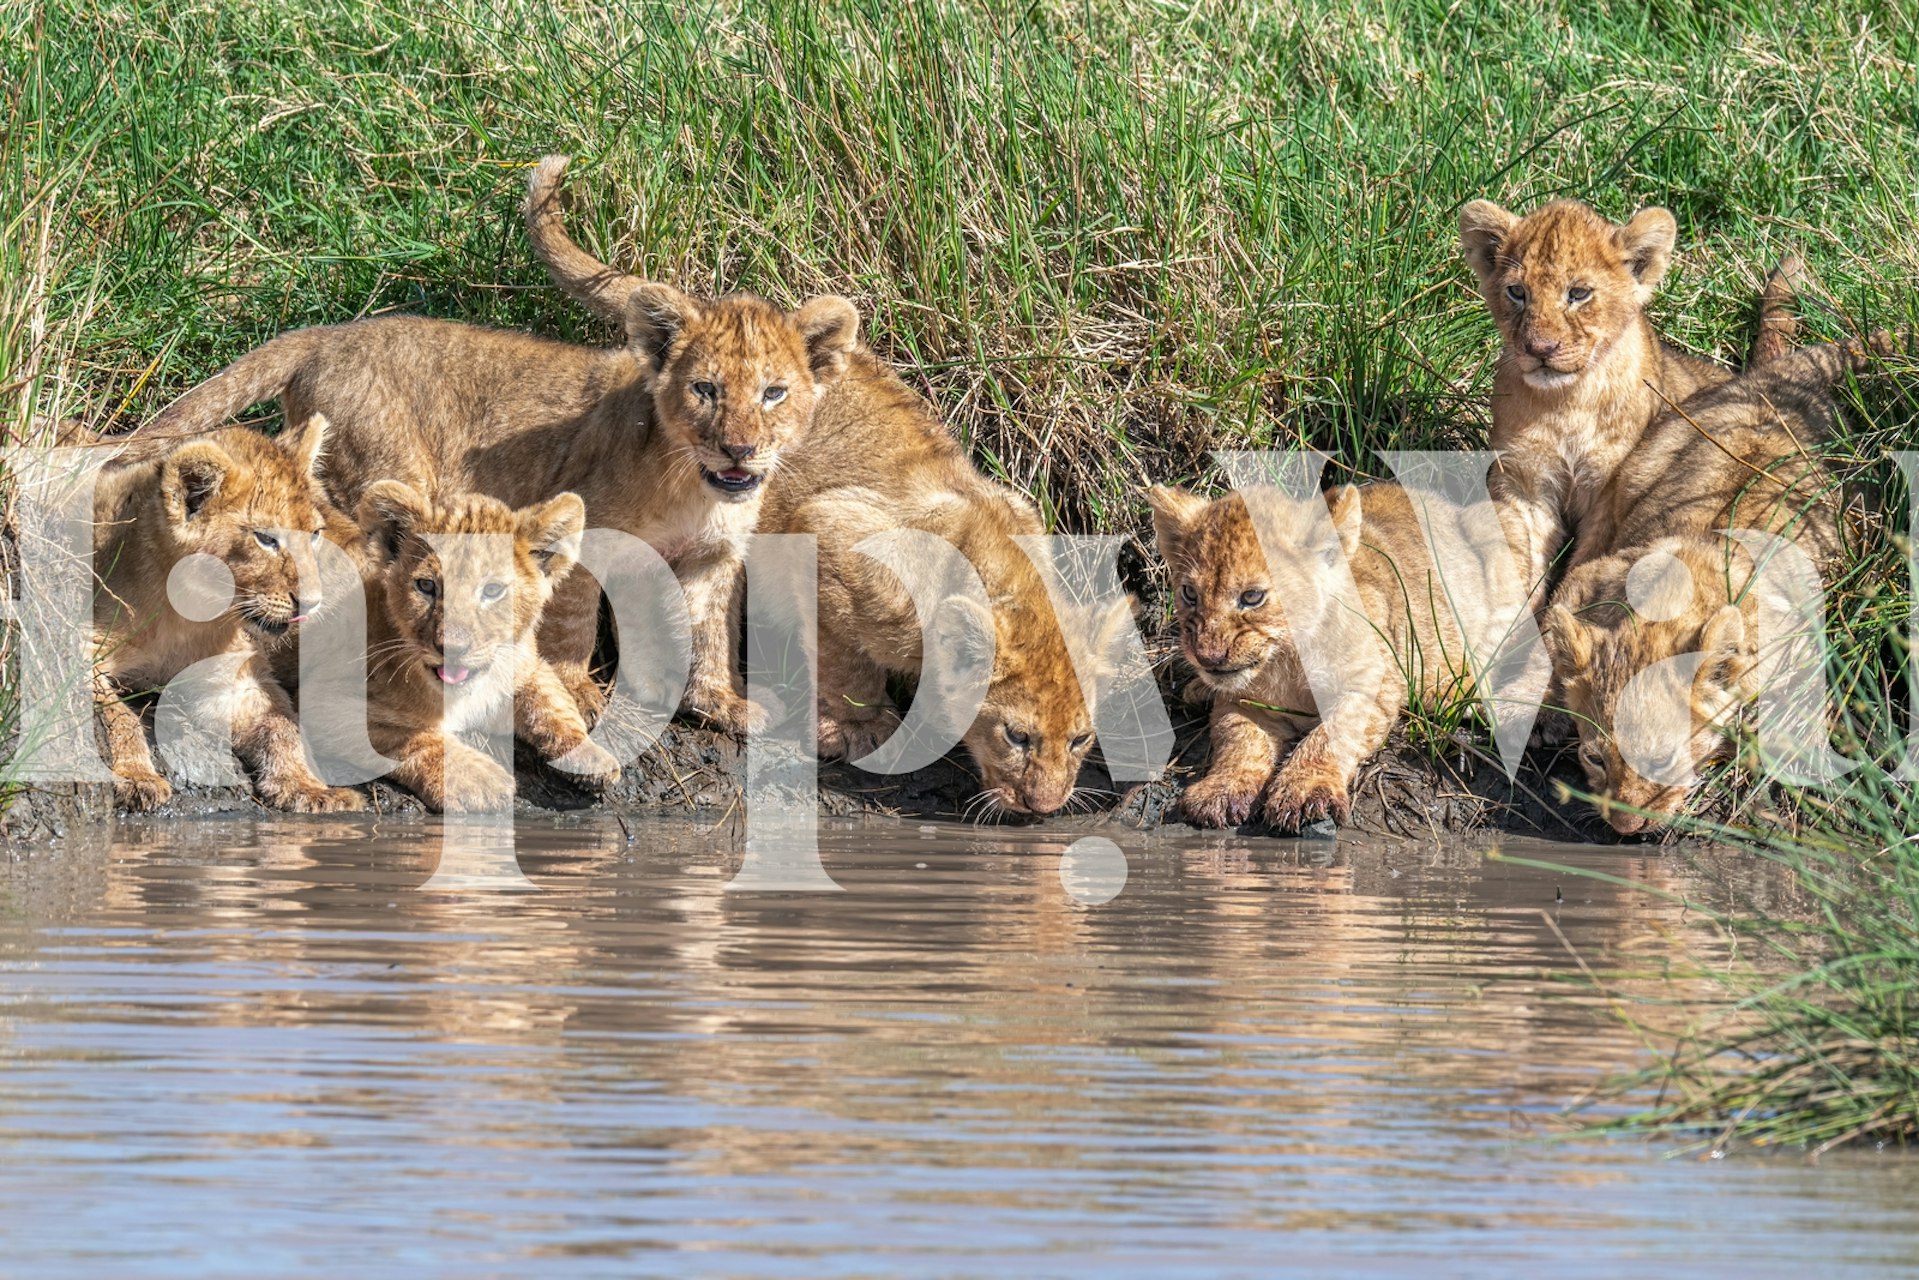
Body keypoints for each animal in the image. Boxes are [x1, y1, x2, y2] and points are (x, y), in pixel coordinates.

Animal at [90, 415, 365, 813]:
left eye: (314, 534)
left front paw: (309, 787)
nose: (312, 602)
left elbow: (284, 726)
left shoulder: (236, 682)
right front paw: (137, 777)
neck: (185, 614)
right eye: (266, 539)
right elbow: (117, 717)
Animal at [110, 157, 864, 739]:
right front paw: (578, 691)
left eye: (773, 394)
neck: (694, 487)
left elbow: (709, 632)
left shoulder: (713, 556)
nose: (739, 450)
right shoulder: (593, 528)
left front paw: (720, 703)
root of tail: (325, 333)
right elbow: (571, 619)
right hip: (386, 467)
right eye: (705, 390)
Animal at [279, 482, 622, 812]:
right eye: (426, 586)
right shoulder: (323, 696)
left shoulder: (526, 664)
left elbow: (552, 703)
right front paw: (479, 780)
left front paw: (592, 756)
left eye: (492, 591)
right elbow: (413, 737)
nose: (451, 648)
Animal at [1147, 480, 1530, 832]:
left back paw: (1456, 692)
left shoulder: (1375, 681)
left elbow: (1332, 734)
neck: (1285, 660)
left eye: (1252, 597)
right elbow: (1237, 739)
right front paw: (1221, 791)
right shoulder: (1241, 700)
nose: (1207, 657)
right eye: (1189, 593)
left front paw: (1303, 790)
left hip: (1505, 532)